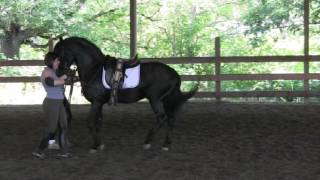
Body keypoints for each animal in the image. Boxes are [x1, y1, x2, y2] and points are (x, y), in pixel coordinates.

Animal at [52, 37, 198, 152]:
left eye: (59, 52)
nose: (58, 72)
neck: (95, 69)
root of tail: (173, 73)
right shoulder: (99, 103)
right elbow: (98, 123)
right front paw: (99, 144)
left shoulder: (96, 102)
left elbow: (90, 122)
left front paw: (94, 146)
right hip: (166, 100)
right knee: (171, 119)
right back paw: (166, 144)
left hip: (155, 99)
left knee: (161, 118)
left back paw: (148, 142)